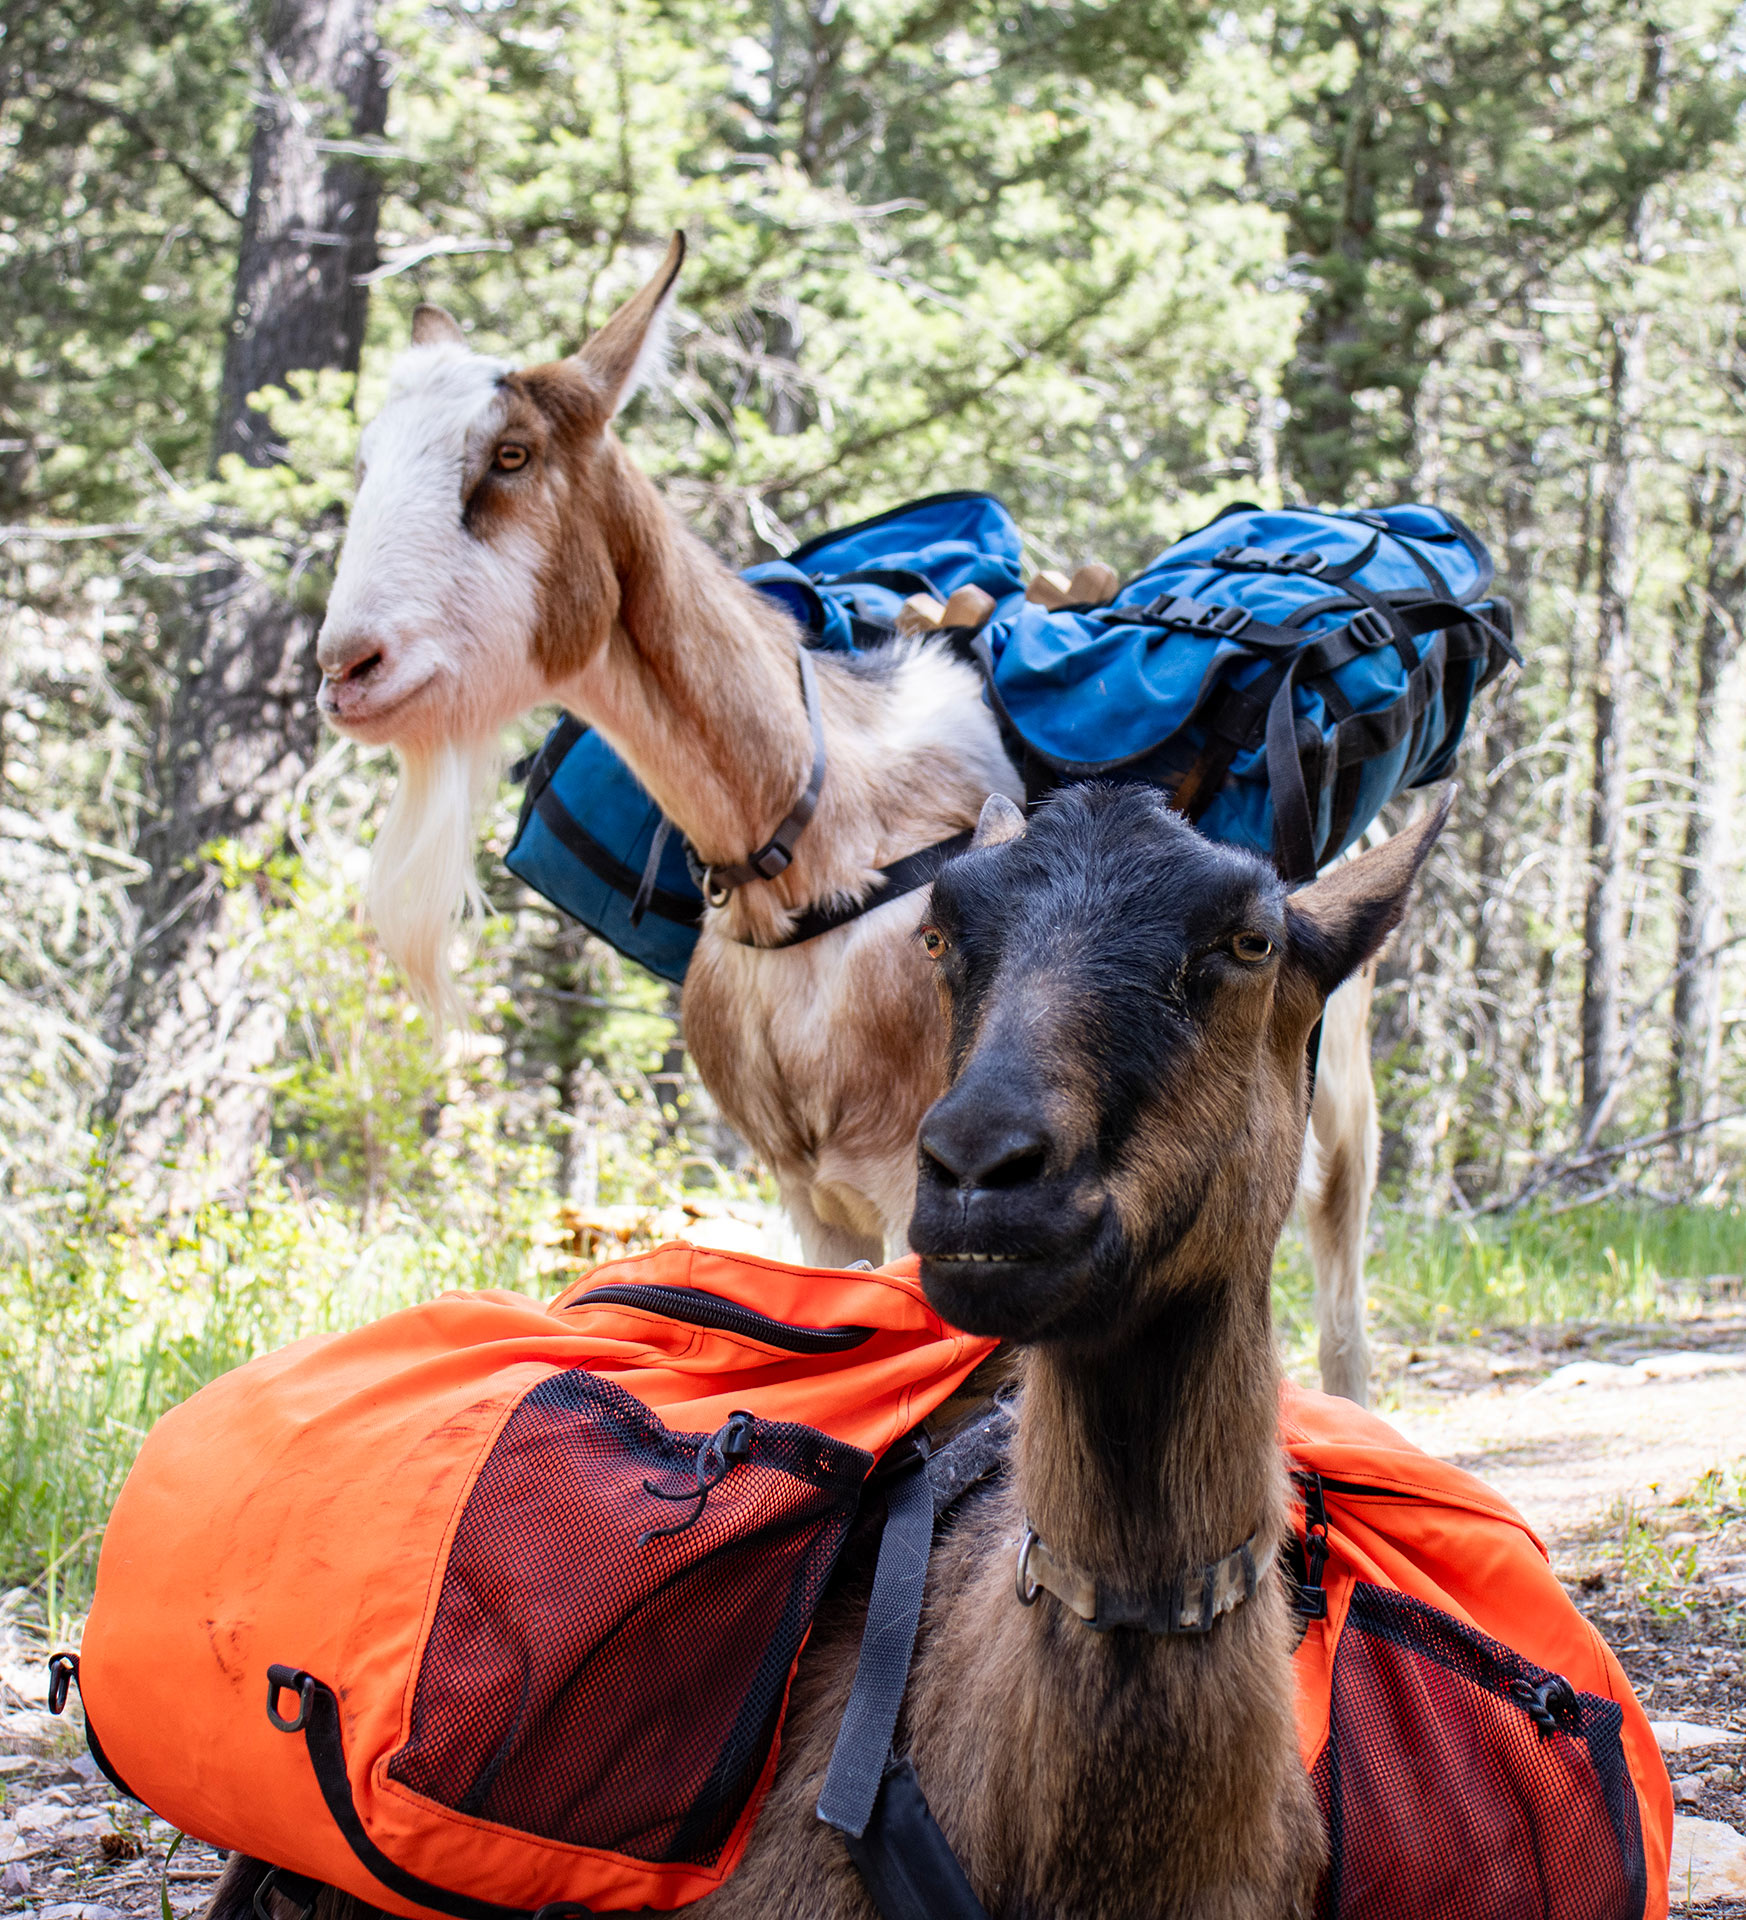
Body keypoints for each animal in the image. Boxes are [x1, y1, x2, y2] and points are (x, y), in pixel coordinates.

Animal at [313, 234, 1386, 1402]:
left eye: (510, 454)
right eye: (366, 460)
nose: (349, 666)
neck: (817, 837)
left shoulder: (940, 1180)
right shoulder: (812, 1197)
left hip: (1338, 1095)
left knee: (1337, 1292)